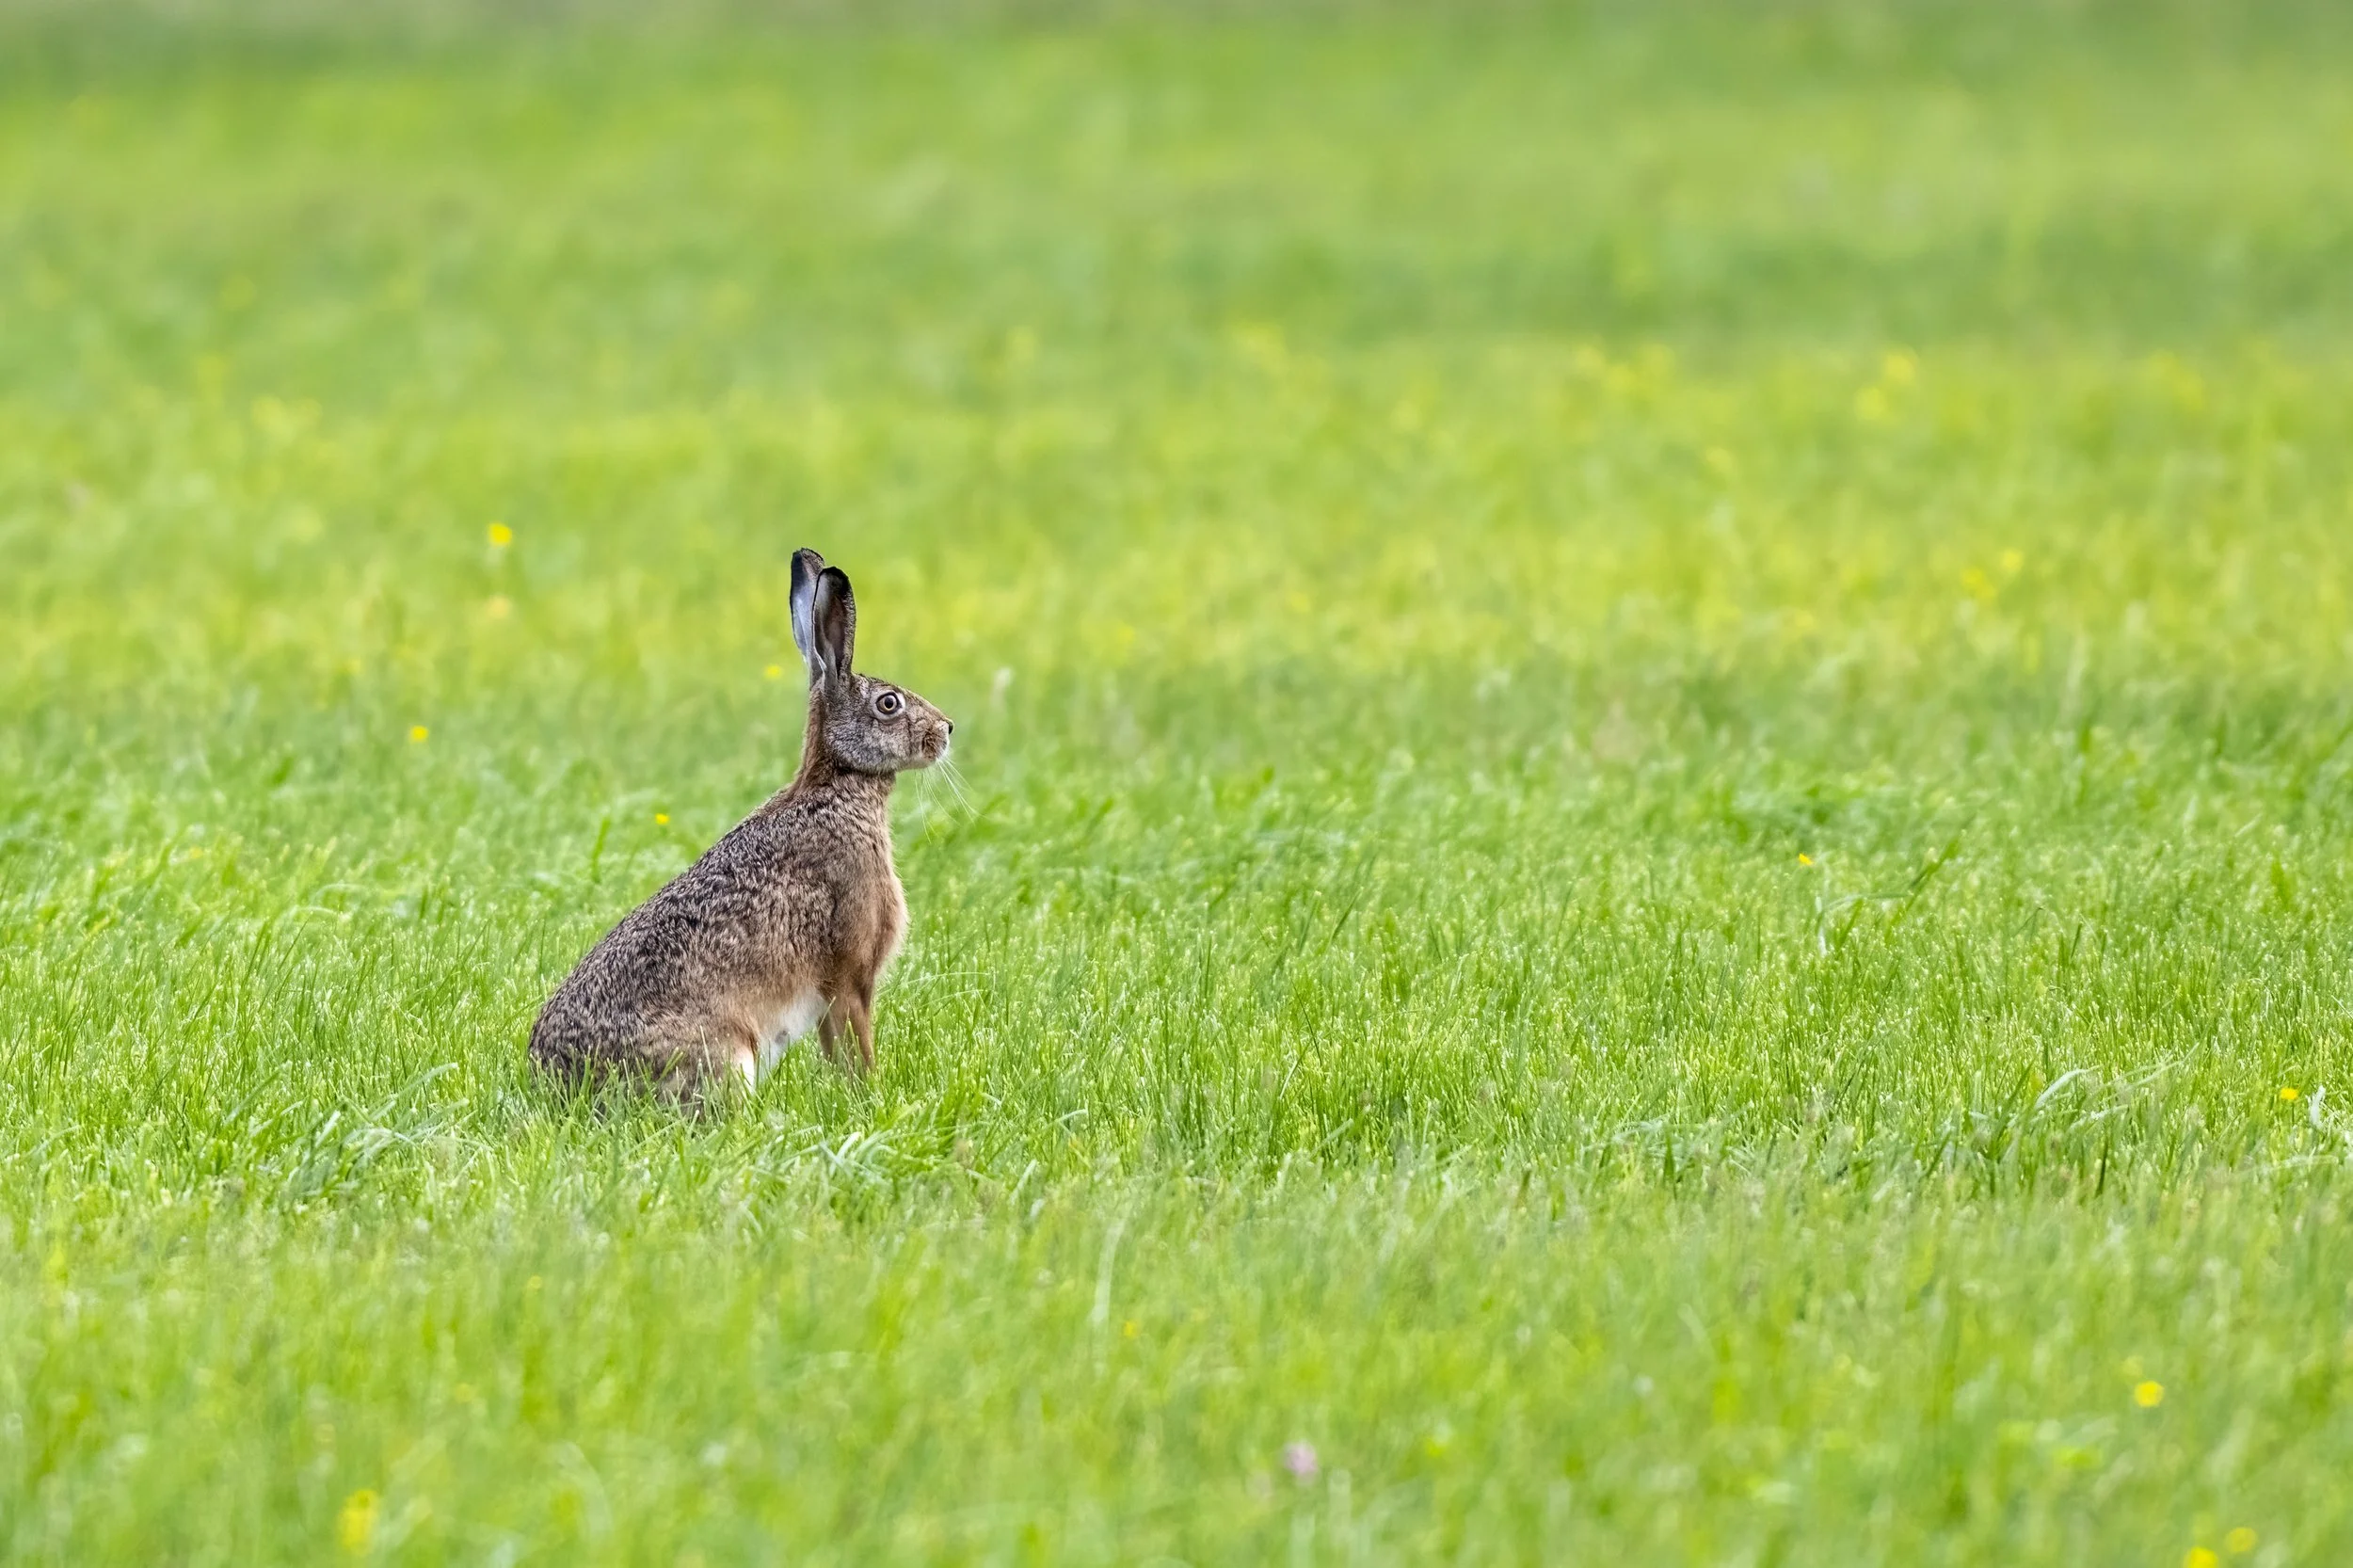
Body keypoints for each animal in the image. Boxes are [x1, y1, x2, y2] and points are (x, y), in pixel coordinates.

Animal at [529, 547, 953, 1103]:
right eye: (889, 704)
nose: (947, 730)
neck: (838, 787)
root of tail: (556, 1083)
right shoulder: (851, 971)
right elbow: (855, 1043)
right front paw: (870, 1095)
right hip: (729, 1052)